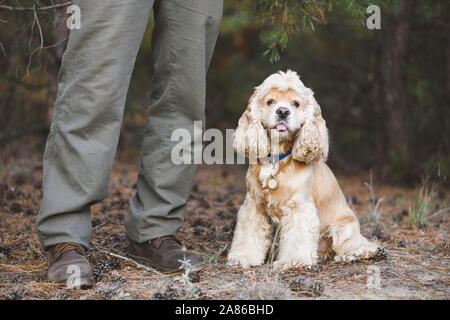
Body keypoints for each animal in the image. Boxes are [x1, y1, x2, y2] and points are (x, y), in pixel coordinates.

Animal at [227, 70, 384, 270]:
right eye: (270, 101)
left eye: (296, 103)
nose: (283, 111)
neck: (276, 159)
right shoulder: (254, 205)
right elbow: (249, 234)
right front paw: (243, 257)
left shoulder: (299, 208)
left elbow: (297, 237)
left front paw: (292, 261)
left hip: (344, 226)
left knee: (354, 244)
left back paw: (357, 253)